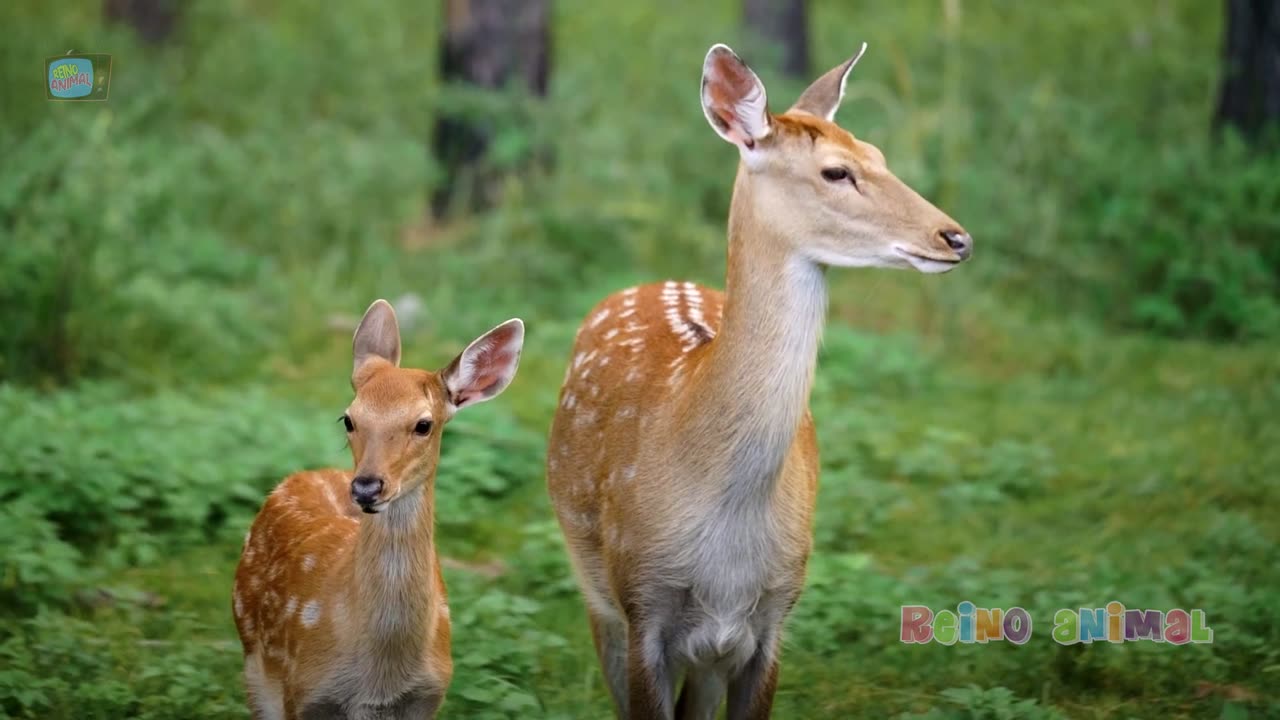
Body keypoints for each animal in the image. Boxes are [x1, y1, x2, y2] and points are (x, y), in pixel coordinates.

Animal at [235, 297, 524, 717]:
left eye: (424, 424)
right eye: (348, 418)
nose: (367, 487)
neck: (379, 677)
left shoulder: (428, 695)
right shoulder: (302, 690)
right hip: (256, 669)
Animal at [545, 46, 972, 717]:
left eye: (877, 154)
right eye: (835, 172)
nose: (956, 237)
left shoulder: (774, 616)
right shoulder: (641, 602)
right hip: (596, 593)